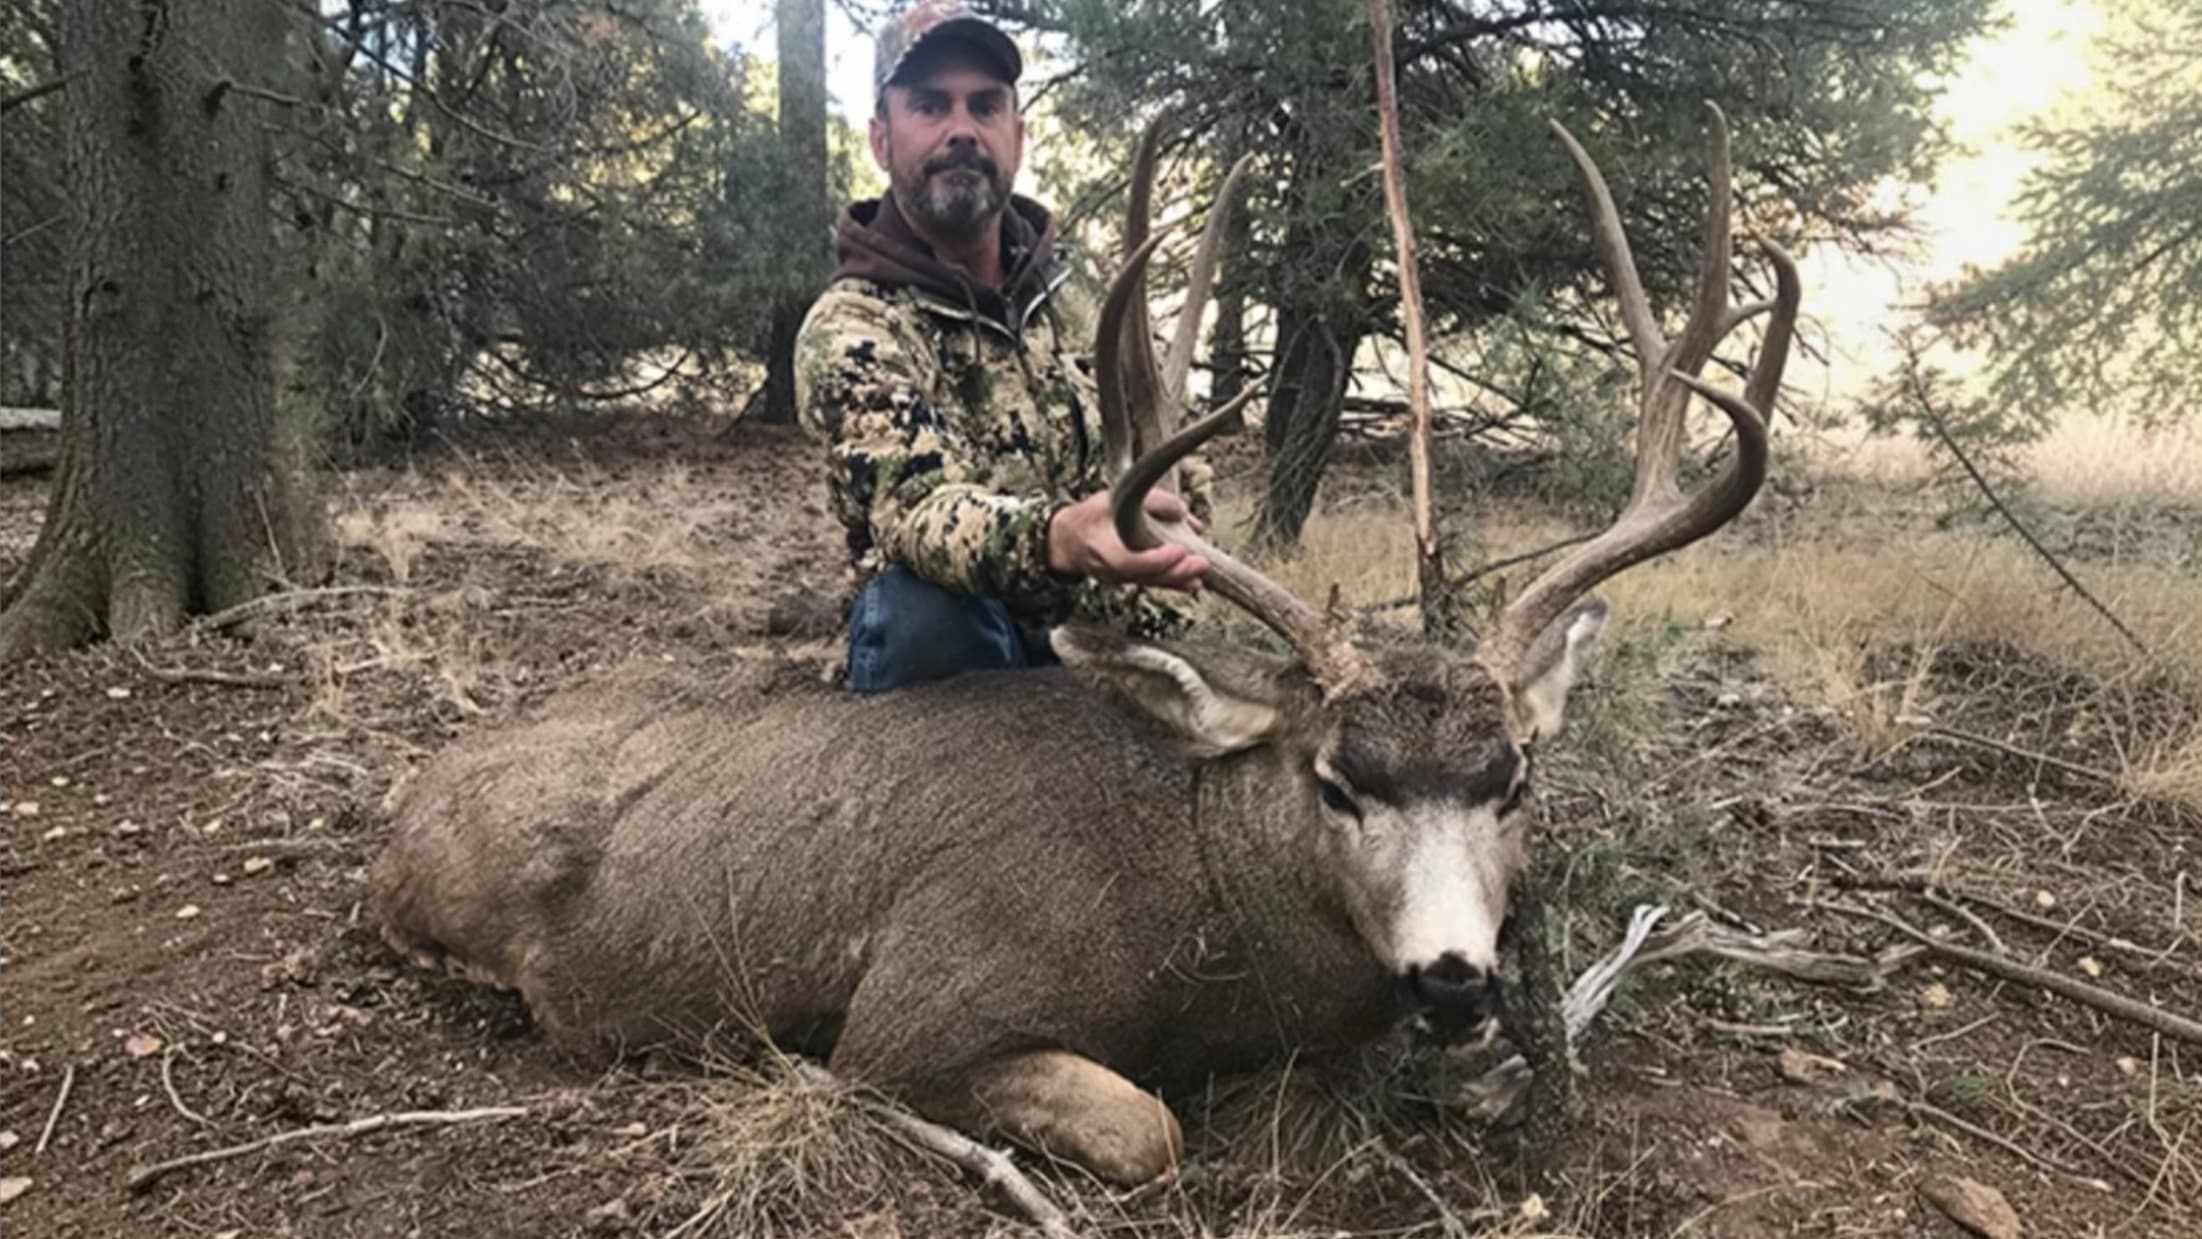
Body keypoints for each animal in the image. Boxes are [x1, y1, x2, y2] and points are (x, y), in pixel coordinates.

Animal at [370, 105, 1797, 1188]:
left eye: (1512, 781)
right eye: (1337, 782)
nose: (1452, 977)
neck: (1198, 912)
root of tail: (407, 800)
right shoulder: (921, 1010)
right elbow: (1146, 1129)